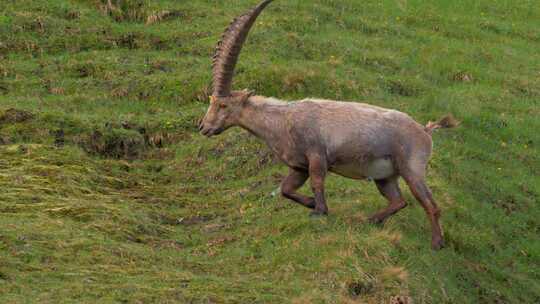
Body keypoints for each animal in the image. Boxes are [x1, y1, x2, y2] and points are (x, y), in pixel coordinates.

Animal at [198, 0, 456, 249]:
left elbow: (317, 181)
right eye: (211, 101)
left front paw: (320, 211)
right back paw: (371, 219)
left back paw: (436, 243)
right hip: (385, 176)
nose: (203, 127)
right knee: (399, 200)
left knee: (431, 205)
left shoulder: (316, 154)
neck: (281, 120)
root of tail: (425, 130)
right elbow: (286, 189)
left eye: (222, 105)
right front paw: (312, 204)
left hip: (412, 168)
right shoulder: (298, 166)